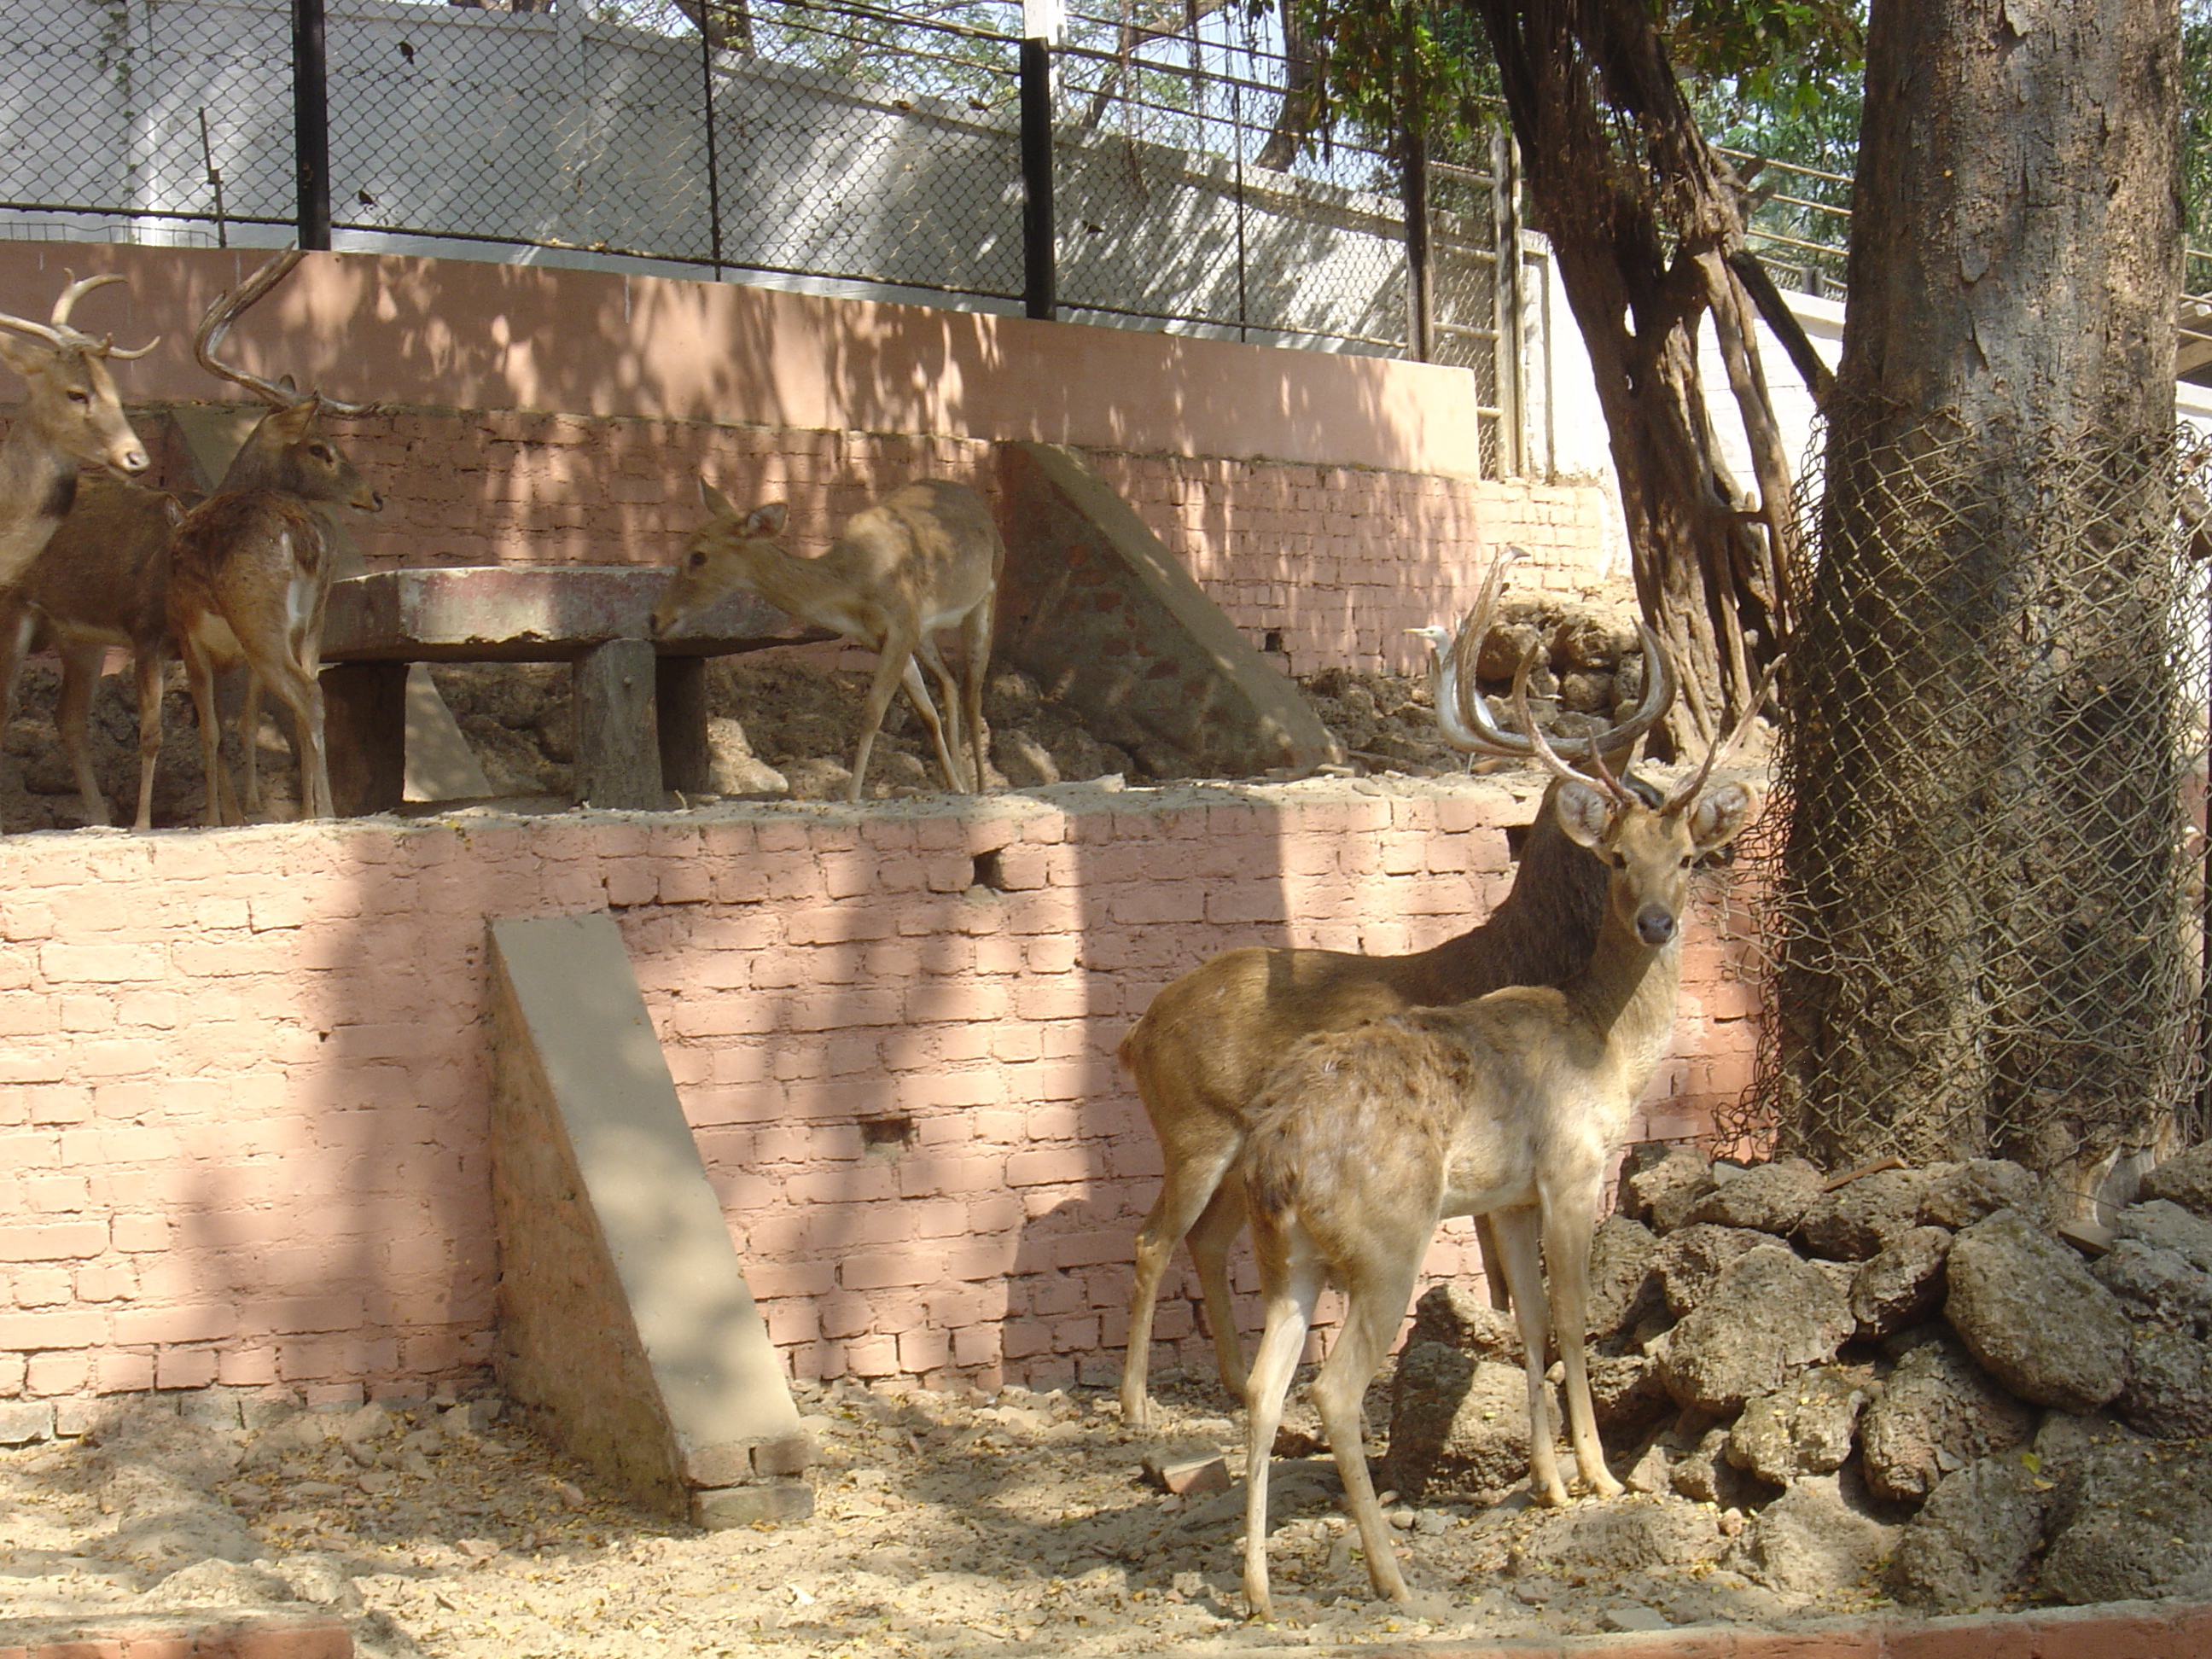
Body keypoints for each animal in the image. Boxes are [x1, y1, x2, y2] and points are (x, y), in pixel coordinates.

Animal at [166, 249, 382, 827]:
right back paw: (316, 811)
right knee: (314, 693)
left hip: (256, 613)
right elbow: (240, 724)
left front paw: (215, 820)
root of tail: (303, 536)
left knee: (307, 695)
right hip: (311, 619)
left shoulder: (187, 634)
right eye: (319, 447)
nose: (376, 496)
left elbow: (211, 731)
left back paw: (325, 813)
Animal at [645, 477, 1004, 809]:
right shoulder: (884, 636)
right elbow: (926, 714)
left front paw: (851, 797)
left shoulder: (902, 624)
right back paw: (962, 782)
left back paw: (984, 788)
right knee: (949, 682)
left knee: (973, 692)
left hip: (986, 594)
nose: (655, 618)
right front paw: (953, 786)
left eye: (698, 557)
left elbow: (872, 711)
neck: (853, 588)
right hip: (927, 633)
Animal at [1115, 546, 1663, 1433]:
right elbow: (1505, 1281)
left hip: (1238, 1153)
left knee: (1207, 1241)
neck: (1540, 964)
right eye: (1625, 804)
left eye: (1649, 790)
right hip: (1194, 1128)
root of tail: (1137, 1035)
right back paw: (1135, 1404)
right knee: (1154, 1239)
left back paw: (1240, 1391)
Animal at [1230, 655, 1761, 1627]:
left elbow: (1530, 1324)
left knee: (1261, 1388)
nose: (1659, 922)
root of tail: (1278, 1156)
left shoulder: (1509, 1199)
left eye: (1688, 858)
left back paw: (1258, 1592)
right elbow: (1578, 1319)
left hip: (1285, 1255)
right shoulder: (1573, 1170)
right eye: (1618, 857)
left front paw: (1547, 1483)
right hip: (1386, 1243)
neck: (1605, 1051)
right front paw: (1602, 1479)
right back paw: (1393, 1577)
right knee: (1333, 1388)